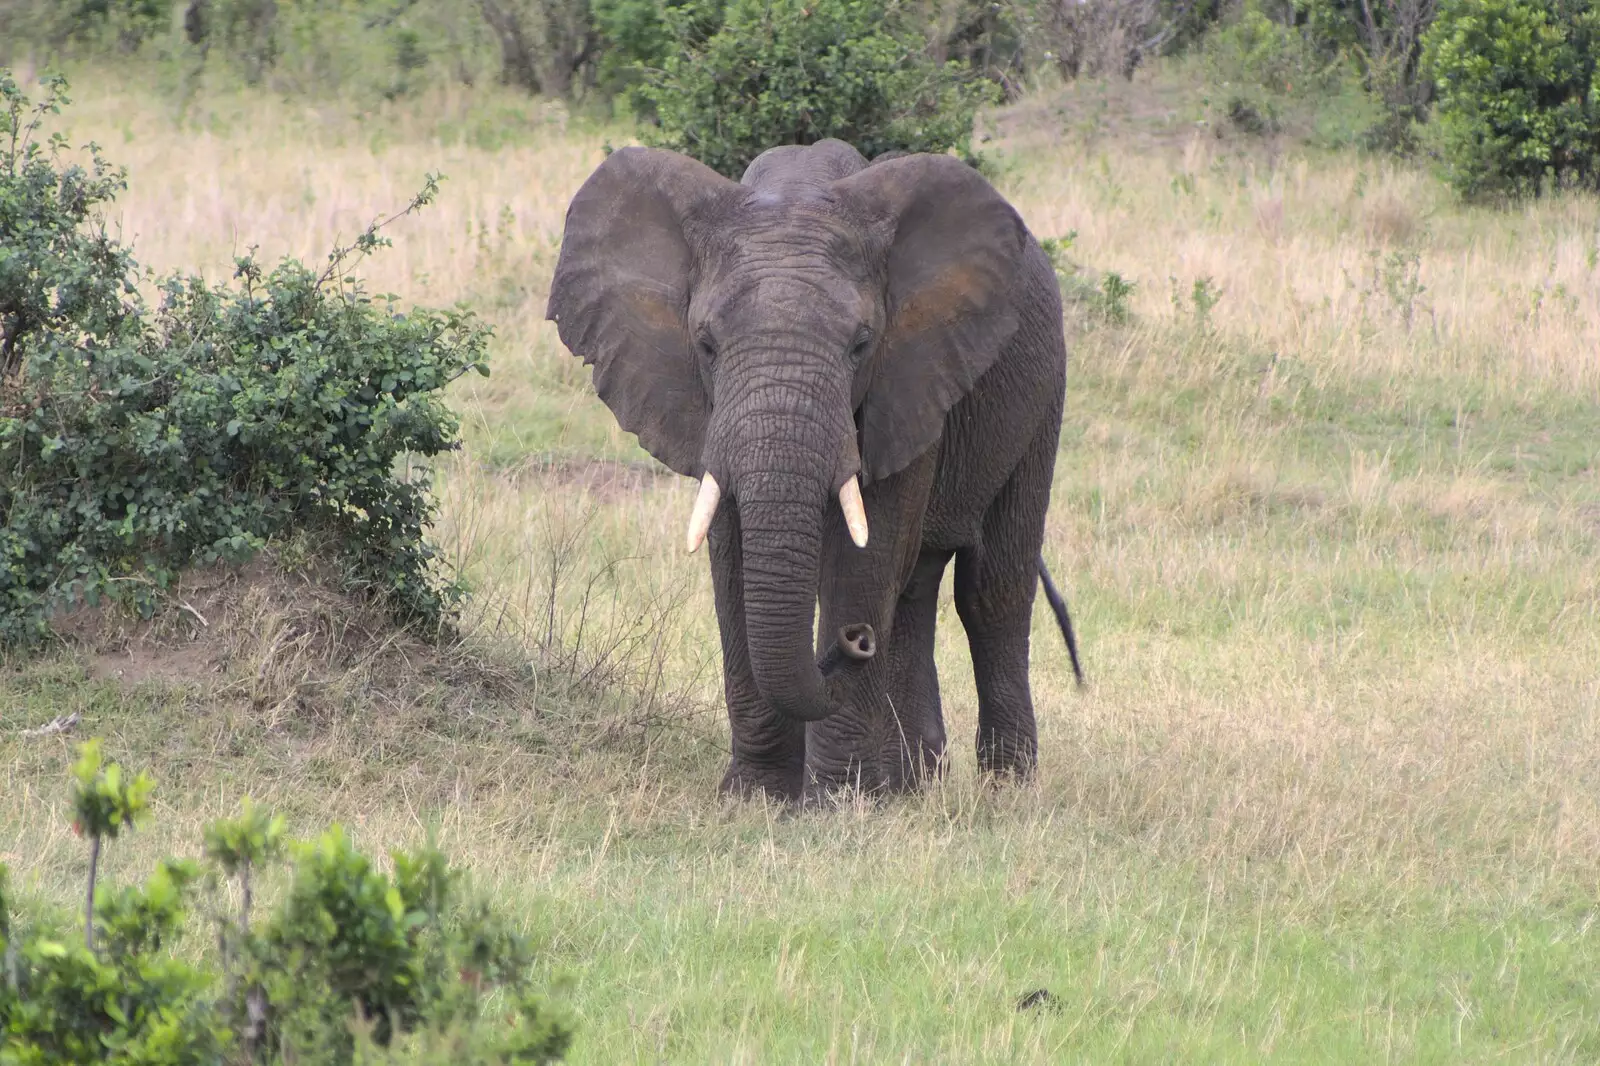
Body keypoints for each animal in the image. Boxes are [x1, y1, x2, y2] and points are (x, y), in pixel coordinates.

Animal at [550, 136, 1088, 797]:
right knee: (914, 591)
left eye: (861, 344)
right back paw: (912, 787)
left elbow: (867, 556)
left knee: (992, 588)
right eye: (705, 344)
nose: (853, 642)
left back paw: (1003, 788)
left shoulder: (909, 375)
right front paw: (756, 796)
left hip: (1042, 386)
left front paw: (838, 800)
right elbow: (733, 562)